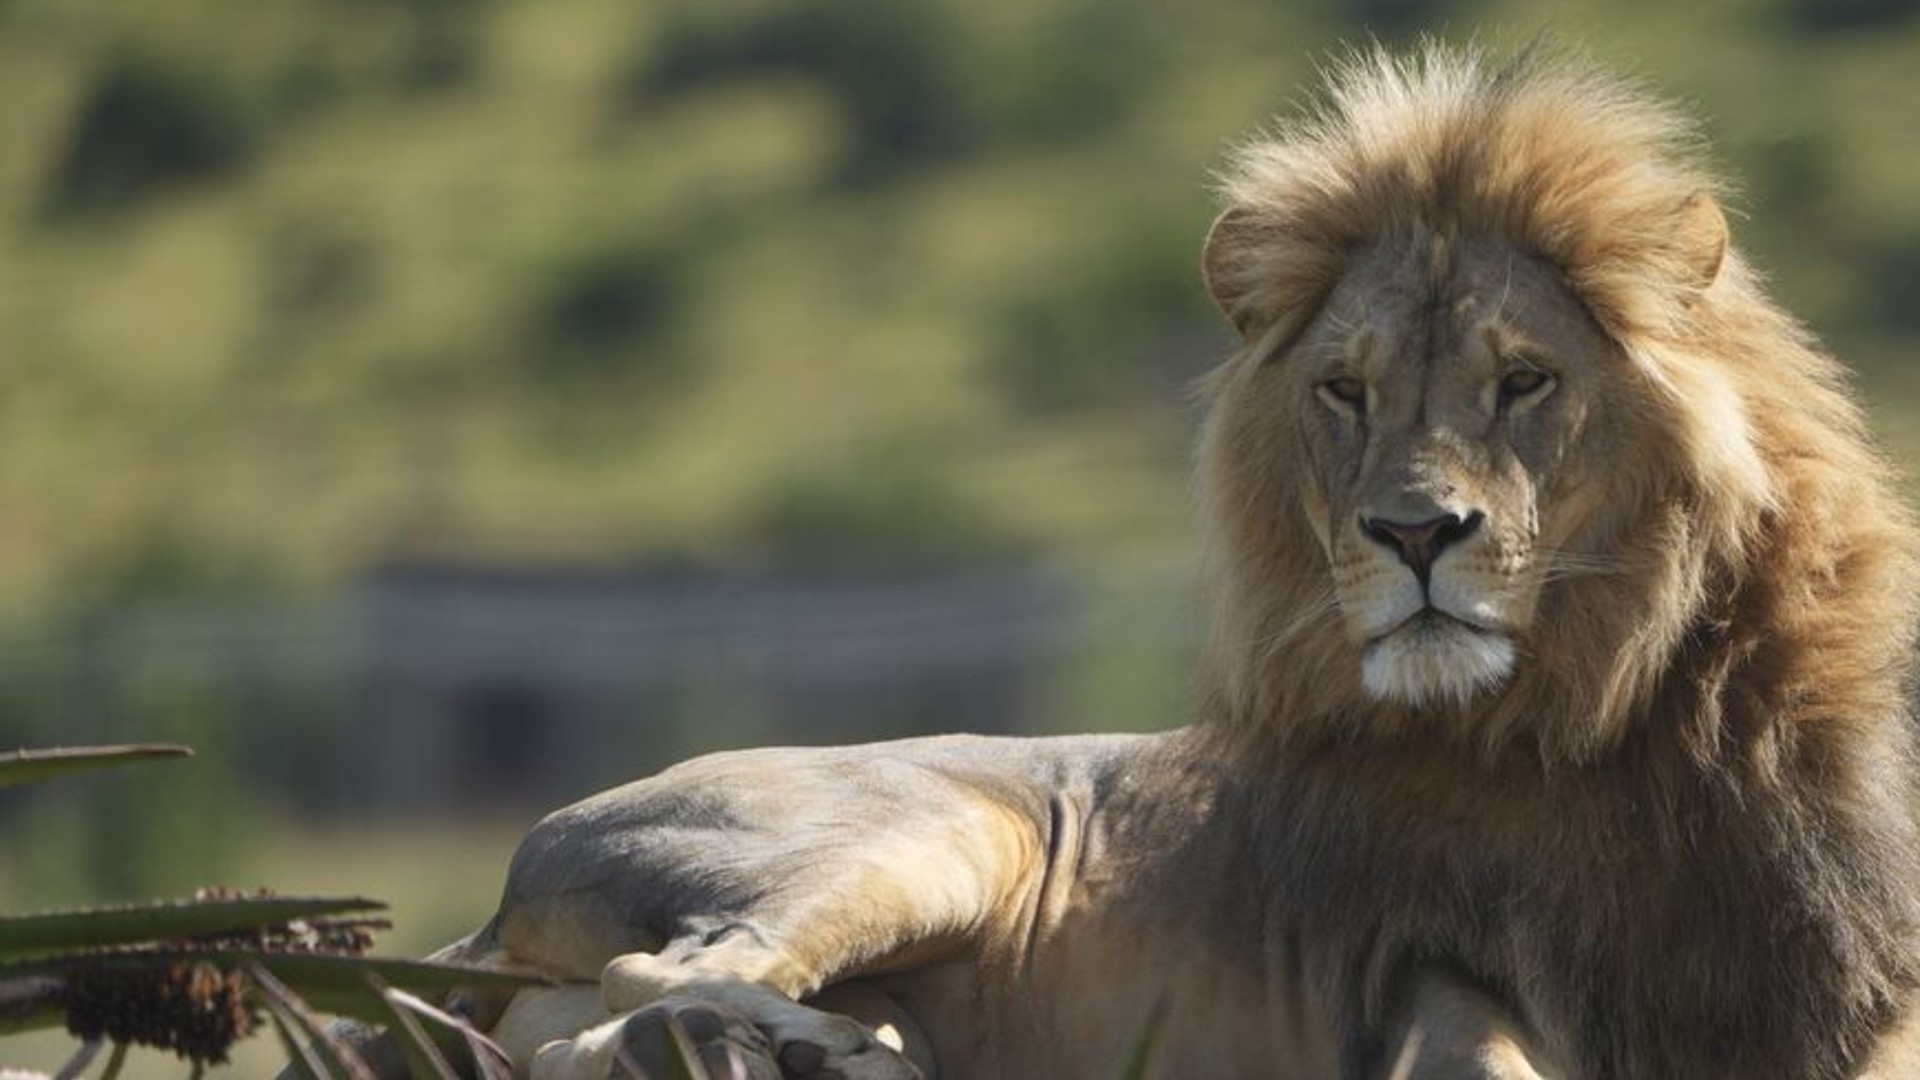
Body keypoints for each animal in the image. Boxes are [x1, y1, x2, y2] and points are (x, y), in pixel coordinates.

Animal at [326, 44, 1920, 1076]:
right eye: (1346, 393)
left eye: (1523, 381)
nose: (1415, 535)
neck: (1606, 713)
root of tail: (502, 887)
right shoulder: (1441, 987)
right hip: (933, 831)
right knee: (640, 994)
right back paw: (838, 1055)